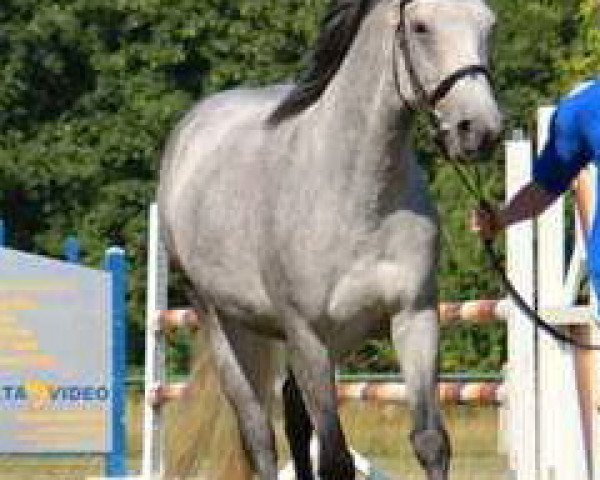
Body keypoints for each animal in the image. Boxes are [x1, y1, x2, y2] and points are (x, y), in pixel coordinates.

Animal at [159, 0, 502, 480]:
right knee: (259, 434)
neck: (357, 192)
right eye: (420, 27)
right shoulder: (308, 335)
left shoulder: (414, 317)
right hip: (224, 322)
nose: (481, 131)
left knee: (293, 415)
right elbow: (336, 459)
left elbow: (431, 441)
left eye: (489, 25)